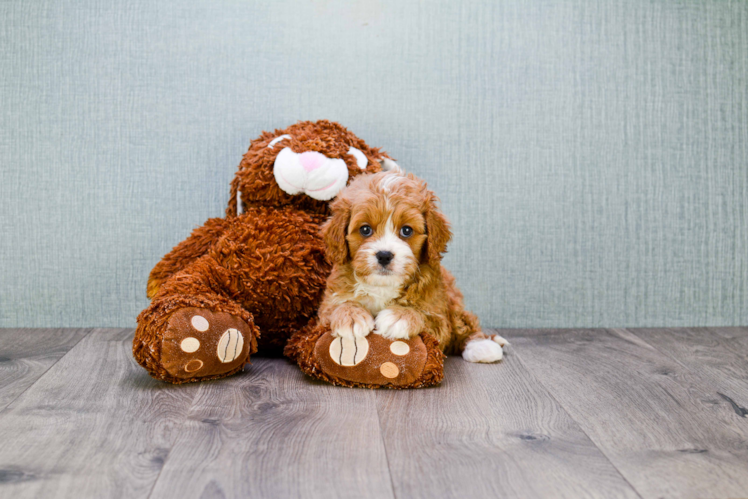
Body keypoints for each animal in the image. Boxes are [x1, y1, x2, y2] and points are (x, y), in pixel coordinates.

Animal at [318, 168, 506, 364]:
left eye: (406, 230)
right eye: (365, 230)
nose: (384, 255)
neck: (383, 285)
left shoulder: (437, 313)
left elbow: (426, 316)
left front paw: (400, 315)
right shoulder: (326, 306)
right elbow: (335, 307)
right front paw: (350, 315)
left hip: (453, 301)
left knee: (464, 322)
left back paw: (482, 346)